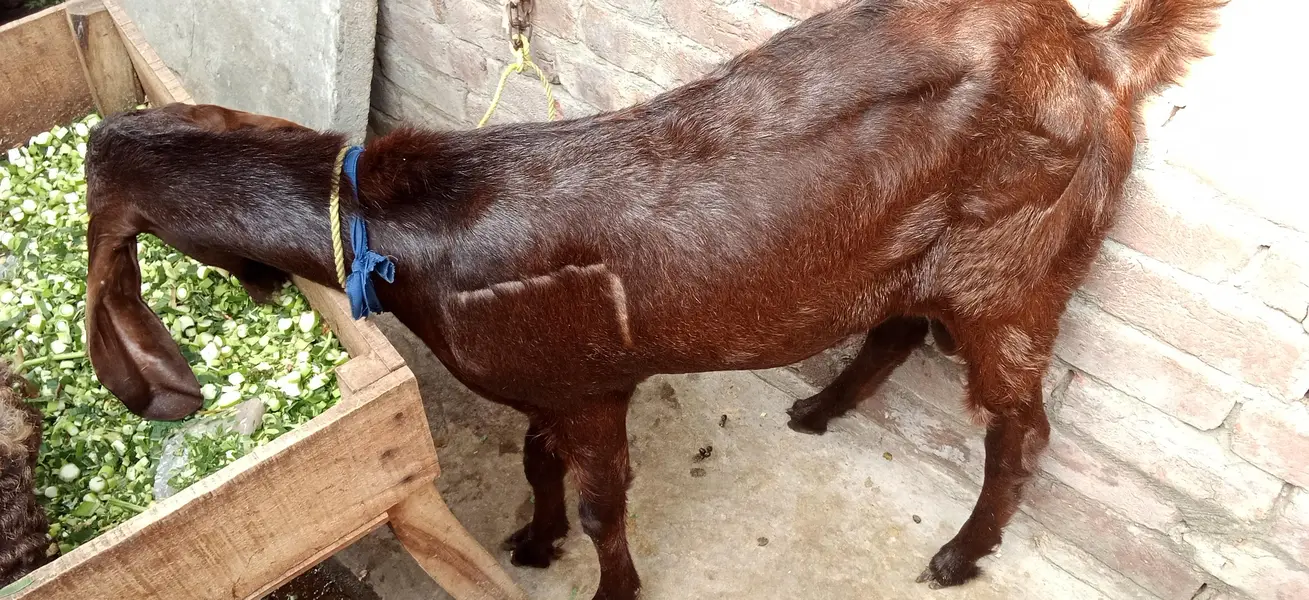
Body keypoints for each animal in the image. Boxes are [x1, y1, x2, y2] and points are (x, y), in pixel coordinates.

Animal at [81, 0, 1223, 597]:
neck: (400, 229)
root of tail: (1098, 48)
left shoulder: (594, 385)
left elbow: (601, 498)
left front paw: (607, 584)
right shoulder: (548, 378)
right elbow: (537, 463)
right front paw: (530, 542)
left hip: (1018, 270)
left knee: (1018, 426)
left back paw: (958, 552)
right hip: (933, 253)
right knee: (900, 322)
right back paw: (818, 408)